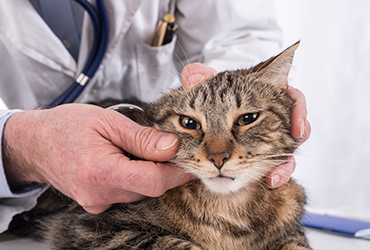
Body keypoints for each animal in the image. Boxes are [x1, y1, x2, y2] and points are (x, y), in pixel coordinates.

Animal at [7, 42, 312, 249]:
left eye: (247, 119)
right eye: (189, 123)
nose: (218, 157)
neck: (229, 211)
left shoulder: (290, 230)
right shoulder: (88, 228)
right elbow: (175, 244)